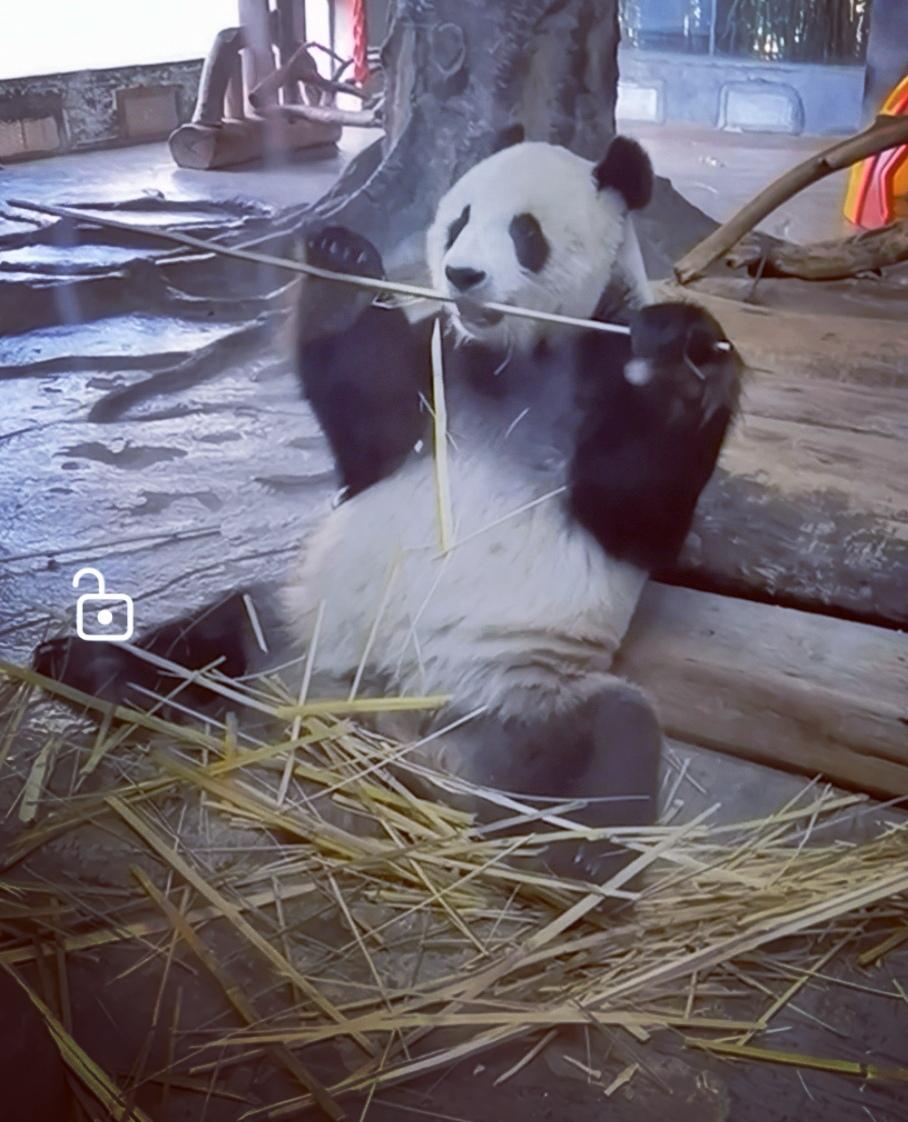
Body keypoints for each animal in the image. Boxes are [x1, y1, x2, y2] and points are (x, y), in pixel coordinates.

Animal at [36, 130, 741, 875]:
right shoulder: (443, 358)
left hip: (505, 693)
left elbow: (637, 515)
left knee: (609, 740)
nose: (463, 276)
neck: (515, 350)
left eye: (525, 233)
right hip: (301, 626)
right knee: (219, 629)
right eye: (459, 220)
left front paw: (682, 357)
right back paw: (89, 665)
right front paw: (343, 265)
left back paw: (558, 868)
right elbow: (369, 435)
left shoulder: (597, 361)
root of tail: (375, 721)